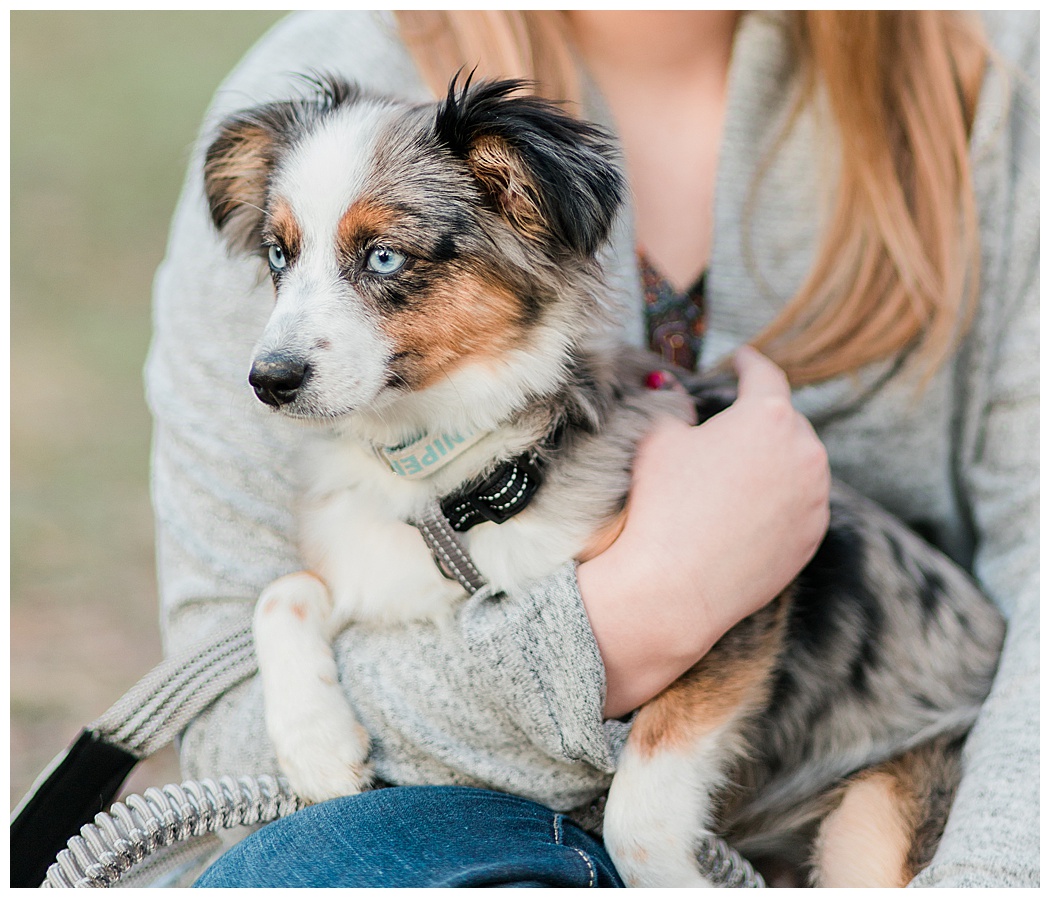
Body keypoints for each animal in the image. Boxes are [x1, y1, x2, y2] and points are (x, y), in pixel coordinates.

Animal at [202, 75, 999, 886]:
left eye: (385, 257)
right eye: (278, 254)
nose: (268, 380)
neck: (456, 489)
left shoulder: (744, 604)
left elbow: (638, 812)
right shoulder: (378, 575)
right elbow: (282, 594)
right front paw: (316, 744)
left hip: (872, 823)